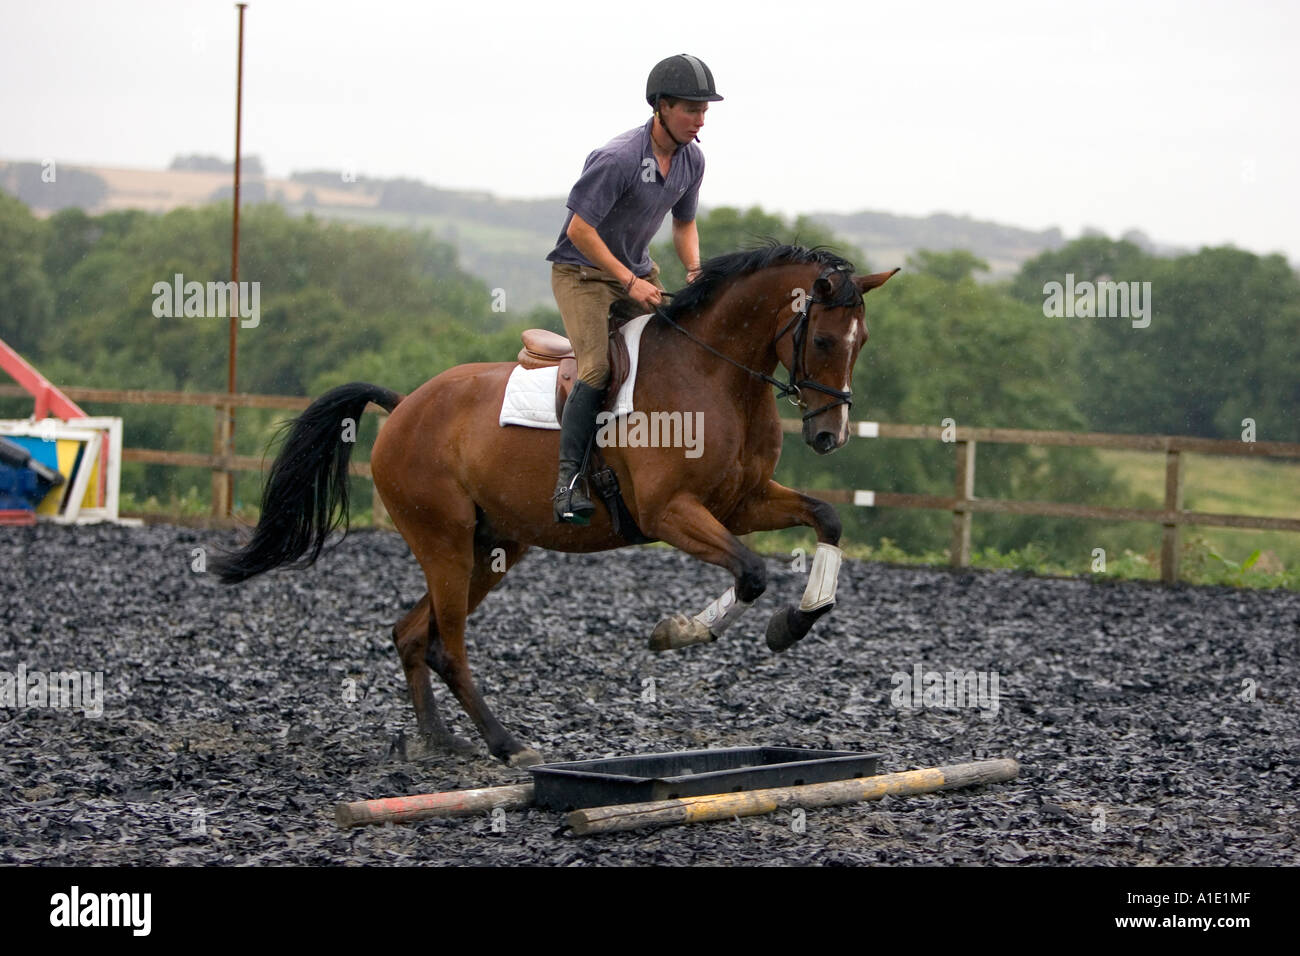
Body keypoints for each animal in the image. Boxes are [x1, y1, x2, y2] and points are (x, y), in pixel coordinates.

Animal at [218, 247, 899, 770]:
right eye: (825, 338)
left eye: (863, 341)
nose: (830, 435)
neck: (714, 373)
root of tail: (405, 403)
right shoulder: (670, 512)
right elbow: (751, 572)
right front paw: (679, 632)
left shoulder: (742, 503)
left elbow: (827, 519)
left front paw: (795, 622)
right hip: (444, 541)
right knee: (448, 645)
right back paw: (505, 743)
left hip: (494, 546)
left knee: (413, 635)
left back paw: (440, 740)